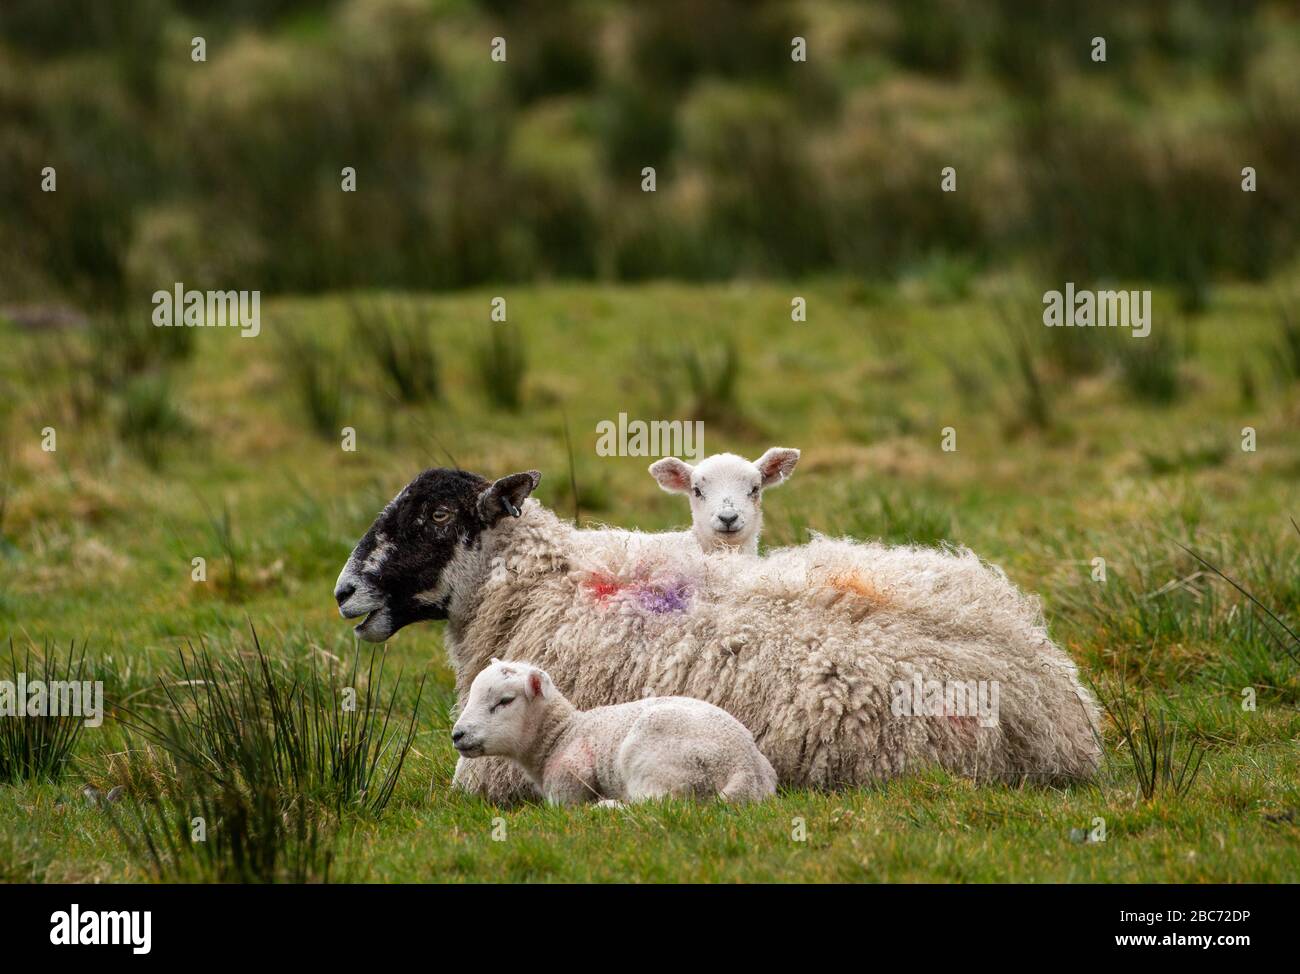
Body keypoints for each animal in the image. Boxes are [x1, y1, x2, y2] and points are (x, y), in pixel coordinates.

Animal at [452, 652, 774, 806]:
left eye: (504, 701)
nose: (457, 735)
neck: (561, 733)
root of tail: (742, 768)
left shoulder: (569, 779)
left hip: (656, 760)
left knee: (659, 806)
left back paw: (607, 807)